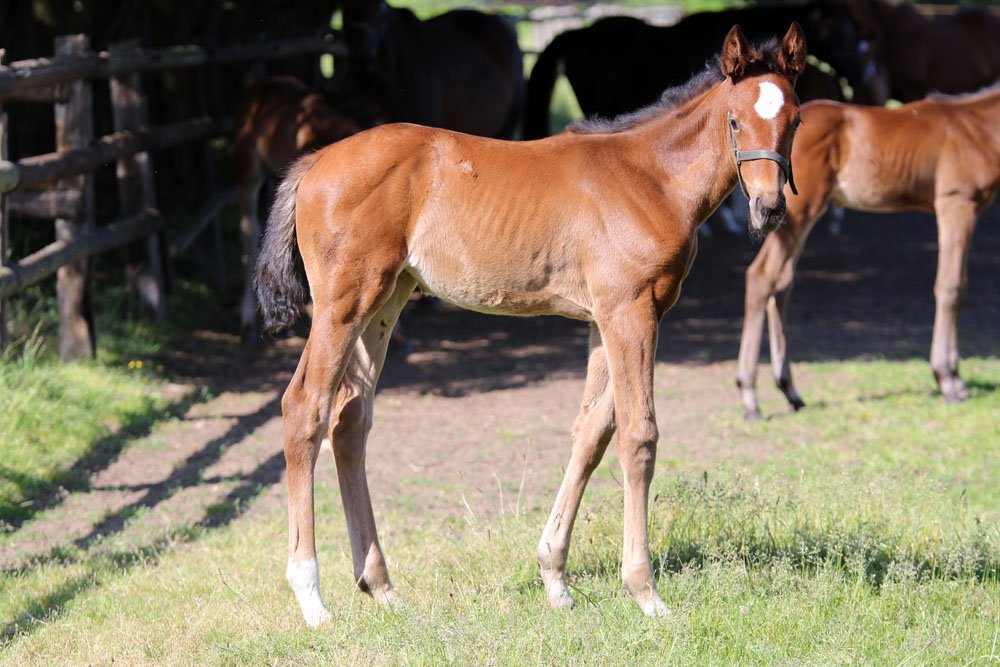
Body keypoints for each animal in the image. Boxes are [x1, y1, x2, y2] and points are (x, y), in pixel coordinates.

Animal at [253, 24, 806, 625]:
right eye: (735, 120)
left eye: (796, 120)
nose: (769, 209)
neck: (651, 178)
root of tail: (316, 161)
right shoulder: (630, 313)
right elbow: (639, 436)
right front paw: (645, 592)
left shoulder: (607, 320)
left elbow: (591, 434)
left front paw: (555, 578)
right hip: (343, 302)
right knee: (304, 407)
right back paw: (312, 597)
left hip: (387, 300)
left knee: (350, 419)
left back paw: (382, 587)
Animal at [736, 86, 1000, 420]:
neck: (977, 129)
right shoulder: (957, 204)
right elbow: (951, 289)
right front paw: (948, 380)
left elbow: (960, 289)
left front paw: (957, 379)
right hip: (797, 209)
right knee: (761, 277)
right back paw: (749, 396)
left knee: (781, 284)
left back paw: (790, 391)